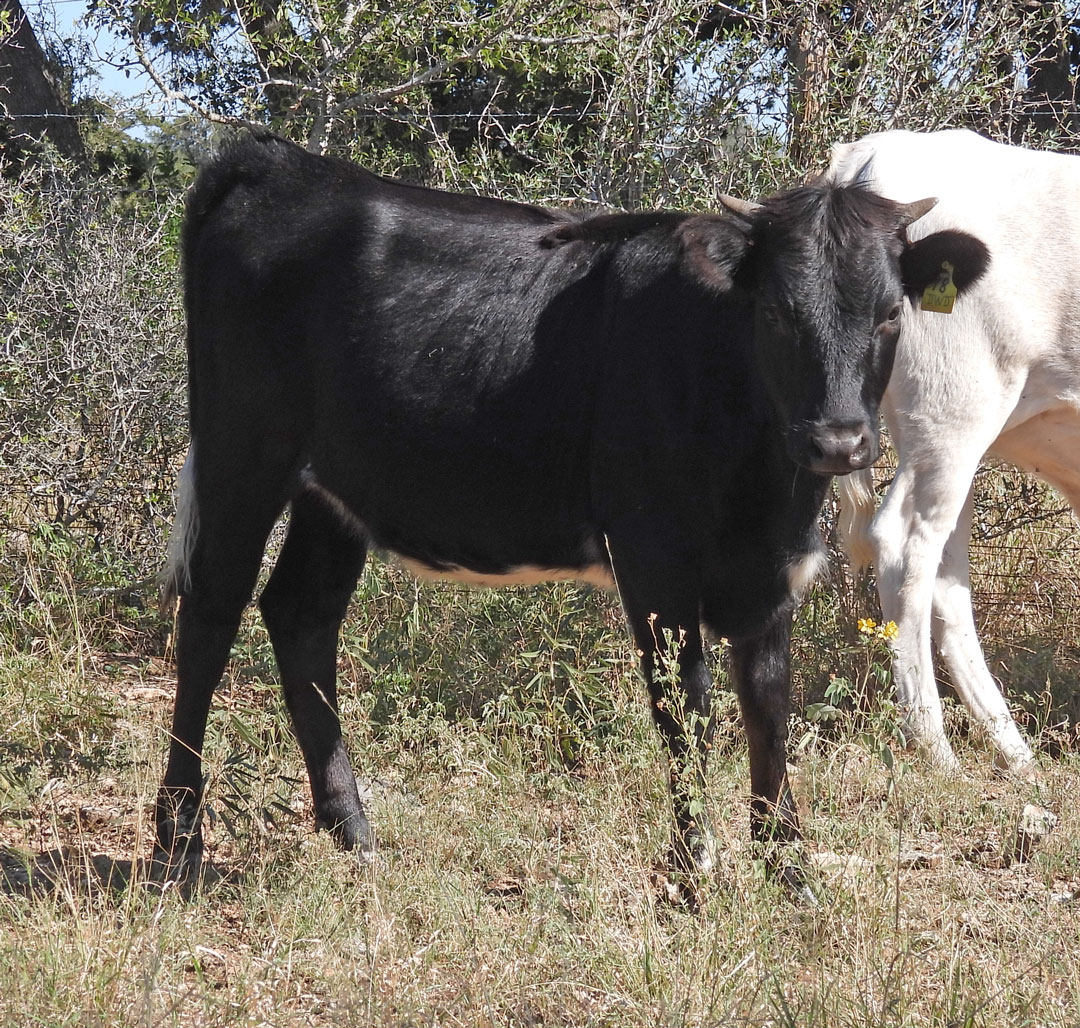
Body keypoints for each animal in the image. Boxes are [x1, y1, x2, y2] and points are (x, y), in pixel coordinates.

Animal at [152, 132, 989, 885]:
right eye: (778, 313)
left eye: (889, 314)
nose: (838, 440)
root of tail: (283, 161)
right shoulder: (653, 560)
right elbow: (686, 706)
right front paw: (694, 873)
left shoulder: (771, 569)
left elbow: (768, 708)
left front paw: (790, 872)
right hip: (241, 455)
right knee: (210, 617)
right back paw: (177, 847)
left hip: (333, 491)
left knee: (301, 614)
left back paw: (353, 832)